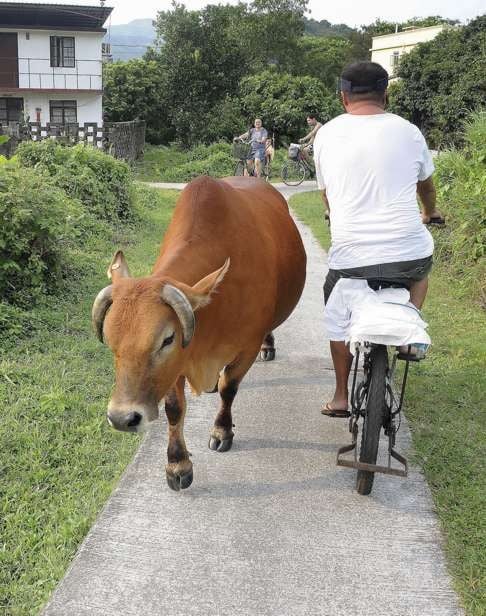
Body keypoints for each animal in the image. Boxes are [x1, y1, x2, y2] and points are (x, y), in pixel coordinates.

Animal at [92, 177, 304, 490]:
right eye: (110, 342)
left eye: (167, 339)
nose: (121, 418)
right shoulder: (178, 364)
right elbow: (174, 408)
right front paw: (177, 464)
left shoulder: (246, 347)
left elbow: (230, 388)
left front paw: (221, 431)